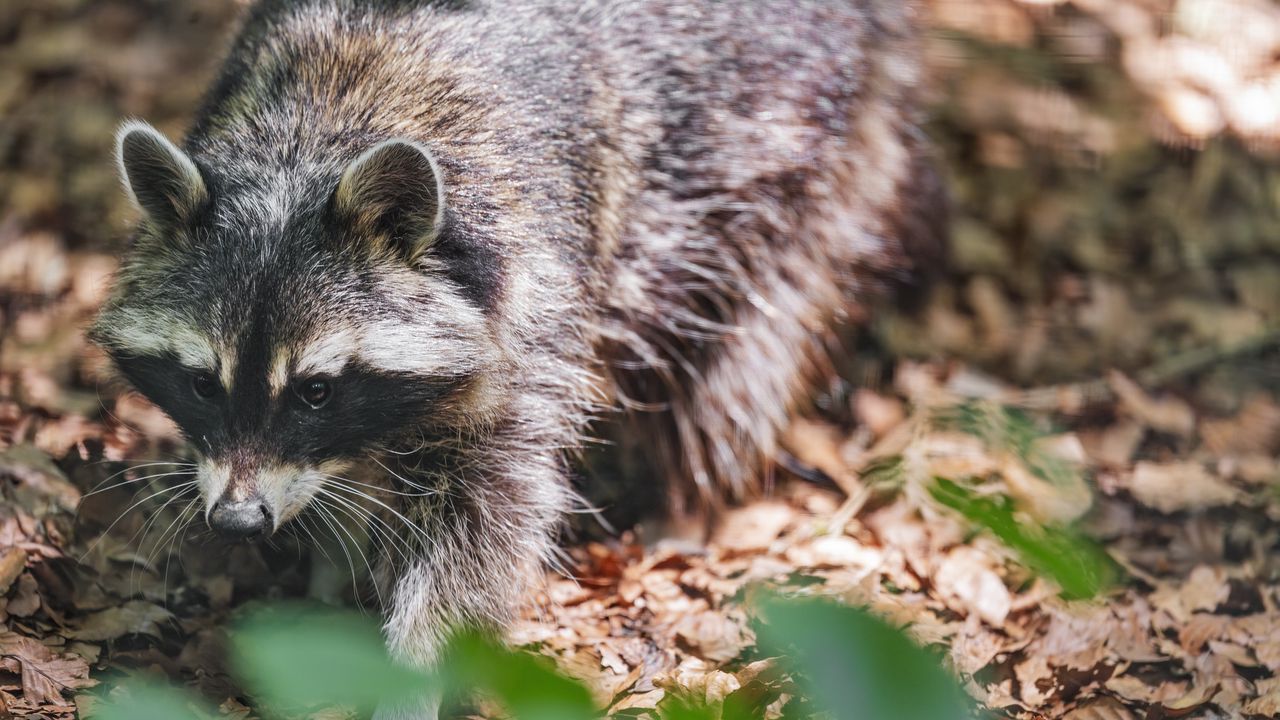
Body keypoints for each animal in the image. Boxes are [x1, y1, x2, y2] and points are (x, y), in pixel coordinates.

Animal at [90, 0, 947, 712]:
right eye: (203, 383)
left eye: (316, 390)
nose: (237, 520)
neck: (315, 134)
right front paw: (330, 568)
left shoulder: (531, 315)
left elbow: (485, 525)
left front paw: (413, 670)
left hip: (777, 141)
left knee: (748, 339)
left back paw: (694, 493)